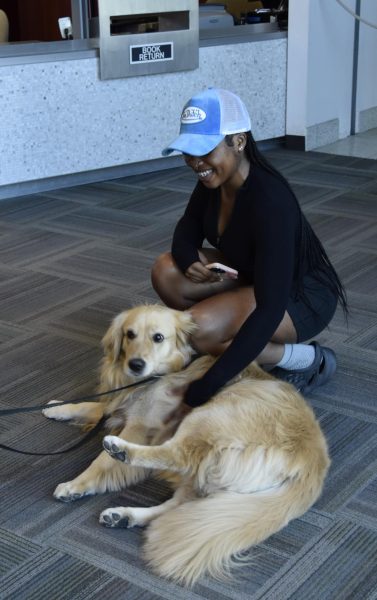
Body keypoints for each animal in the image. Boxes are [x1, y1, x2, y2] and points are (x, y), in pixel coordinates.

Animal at [44, 304, 330, 584]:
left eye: (158, 337)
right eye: (130, 334)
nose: (135, 365)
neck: (166, 371)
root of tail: (312, 468)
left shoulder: (140, 425)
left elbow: (100, 463)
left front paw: (76, 485)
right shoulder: (120, 405)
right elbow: (90, 405)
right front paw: (56, 407)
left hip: (211, 415)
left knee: (175, 454)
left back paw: (121, 450)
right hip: (205, 475)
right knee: (177, 504)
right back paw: (124, 516)